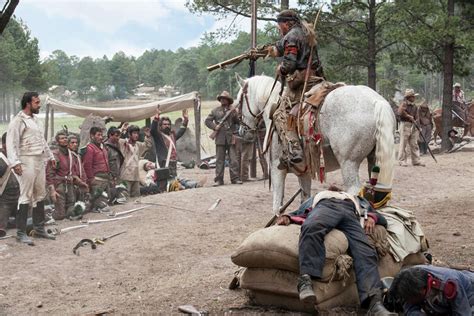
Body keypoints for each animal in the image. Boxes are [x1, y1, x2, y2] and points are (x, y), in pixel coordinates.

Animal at [237, 74, 396, 215]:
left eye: (238, 102)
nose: (242, 131)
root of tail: (377, 101)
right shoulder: (303, 172)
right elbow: (305, 198)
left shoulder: (277, 169)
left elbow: (277, 207)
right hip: (374, 161)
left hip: (349, 162)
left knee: (354, 191)